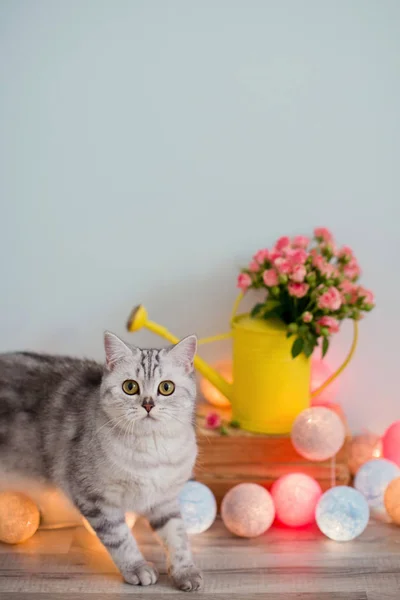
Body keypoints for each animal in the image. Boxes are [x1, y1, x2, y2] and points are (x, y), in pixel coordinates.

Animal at [0, 332, 202, 592]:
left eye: (166, 387)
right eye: (130, 387)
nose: (148, 404)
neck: (151, 455)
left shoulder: (164, 500)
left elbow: (177, 536)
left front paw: (185, 572)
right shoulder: (94, 498)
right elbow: (121, 538)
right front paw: (137, 568)